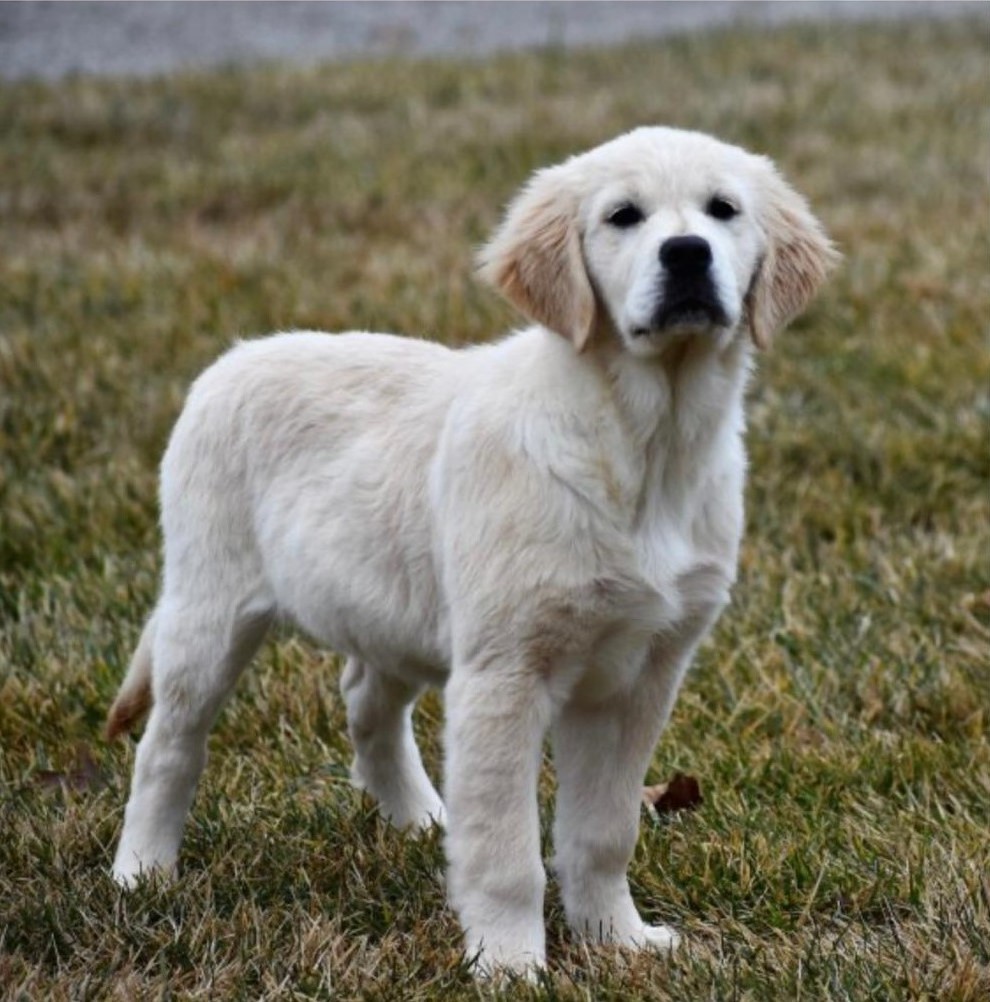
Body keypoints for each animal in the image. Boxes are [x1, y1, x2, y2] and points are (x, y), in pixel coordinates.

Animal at [108, 127, 833, 977]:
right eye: (623, 216)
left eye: (724, 210)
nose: (687, 254)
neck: (643, 443)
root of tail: (230, 360)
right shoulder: (505, 673)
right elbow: (506, 850)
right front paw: (511, 964)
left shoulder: (641, 677)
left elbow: (604, 831)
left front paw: (618, 940)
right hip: (210, 606)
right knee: (168, 746)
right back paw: (141, 873)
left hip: (391, 599)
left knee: (366, 699)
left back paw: (421, 817)